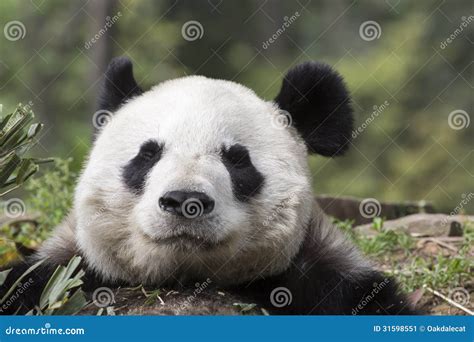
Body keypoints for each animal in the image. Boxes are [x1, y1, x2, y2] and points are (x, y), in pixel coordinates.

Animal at [0, 56, 414, 316]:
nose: (186, 201)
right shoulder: (61, 270)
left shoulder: (328, 279)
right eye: (148, 155)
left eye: (237, 159)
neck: (185, 277)